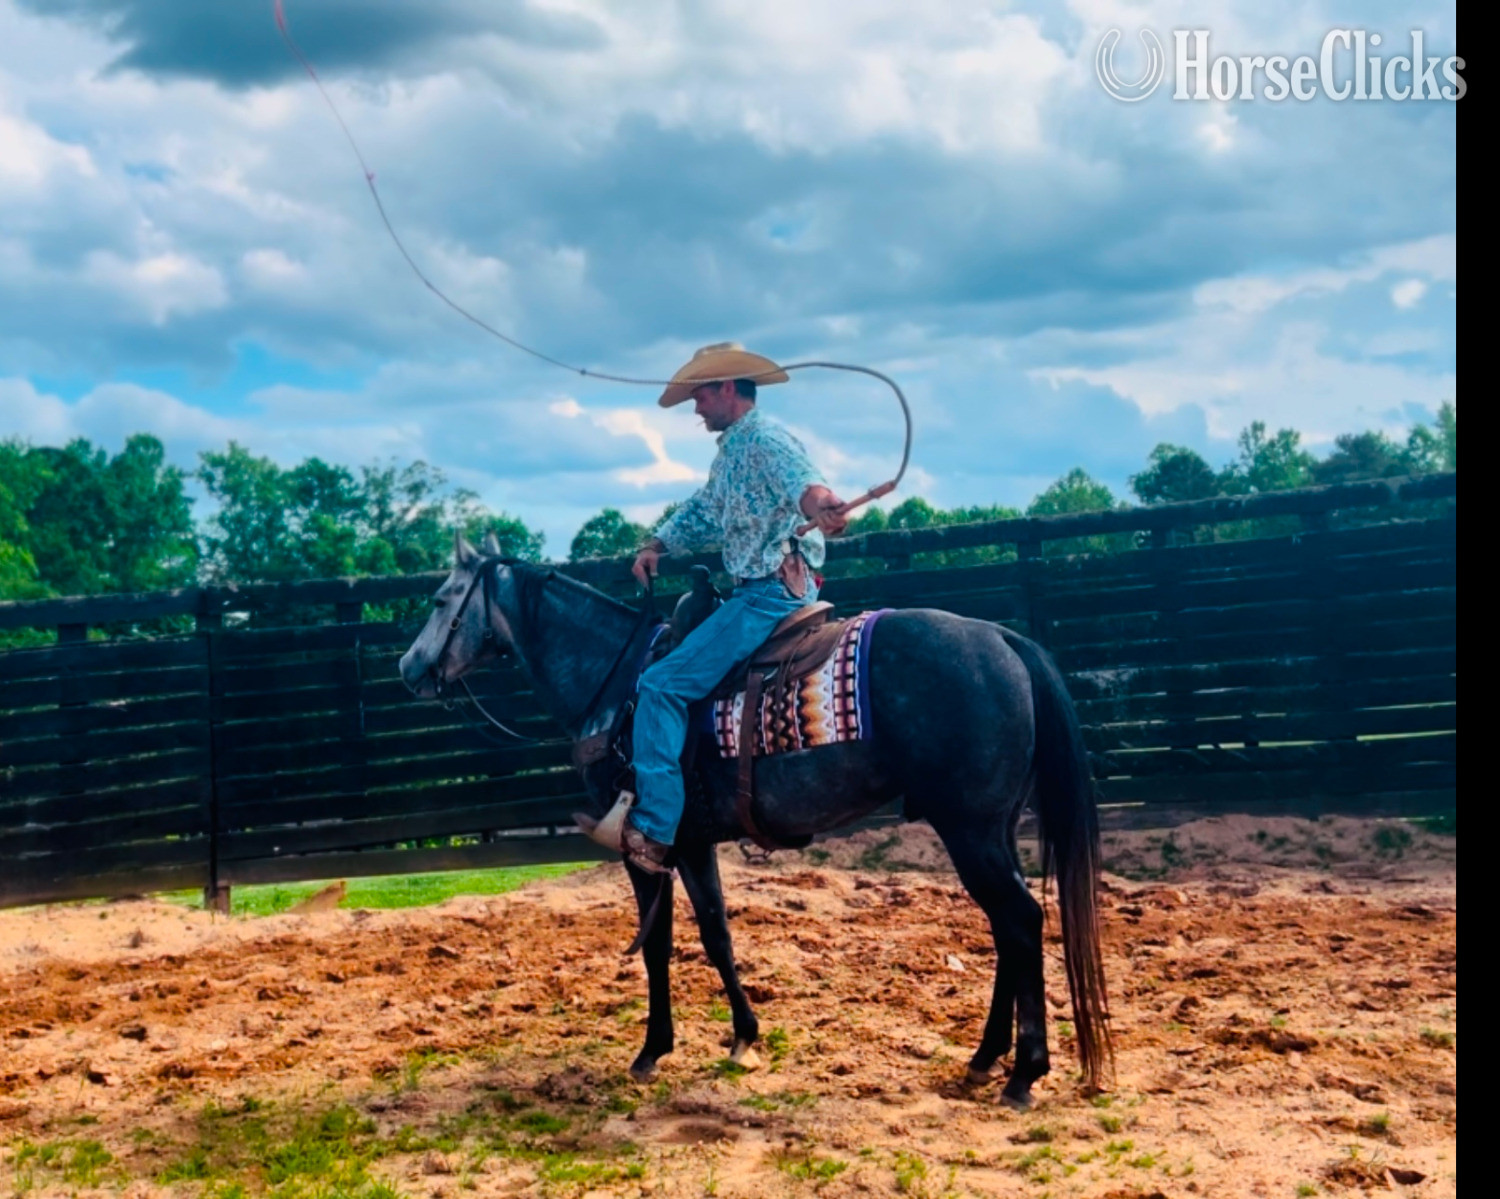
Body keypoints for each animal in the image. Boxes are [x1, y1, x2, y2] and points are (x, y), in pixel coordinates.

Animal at [398, 532, 1111, 1107]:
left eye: (438, 599)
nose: (408, 668)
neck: (618, 682)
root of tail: (1003, 639)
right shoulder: (692, 843)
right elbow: (717, 934)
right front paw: (744, 1036)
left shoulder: (645, 846)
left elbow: (657, 944)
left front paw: (652, 1049)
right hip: (990, 830)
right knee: (1007, 929)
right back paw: (985, 1059)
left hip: (971, 831)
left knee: (1020, 922)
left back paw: (1023, 1073)